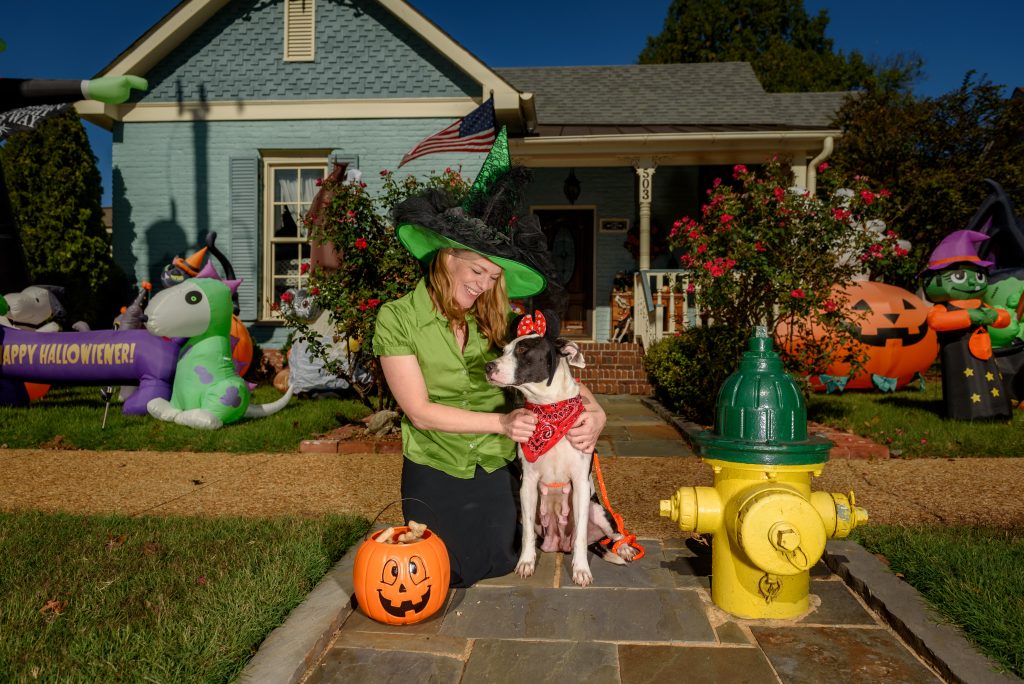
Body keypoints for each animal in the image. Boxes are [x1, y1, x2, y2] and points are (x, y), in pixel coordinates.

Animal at [483, 313, 634, 585]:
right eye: (504, 350)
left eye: (523, 350)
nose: (488, 367)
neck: (549, 408)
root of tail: (560, 545)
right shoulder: (527, 485)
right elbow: (526, 535)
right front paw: (526, 562)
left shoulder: (581, 484)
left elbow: (582, 535)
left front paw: (581, 569)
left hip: (599, 510)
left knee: (614, 534)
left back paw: (625, 548)